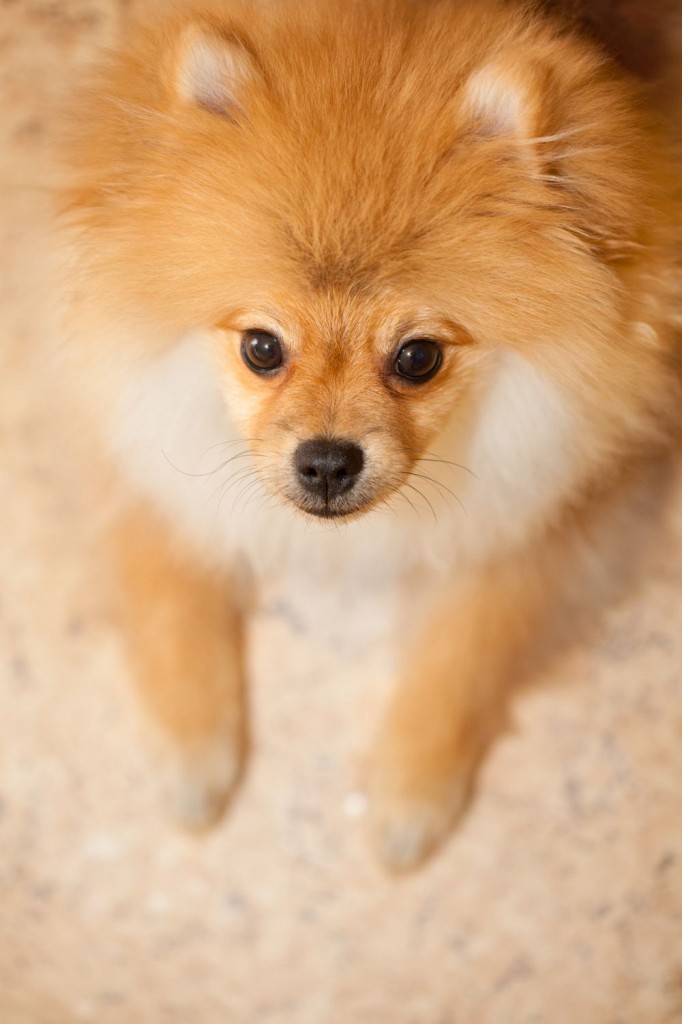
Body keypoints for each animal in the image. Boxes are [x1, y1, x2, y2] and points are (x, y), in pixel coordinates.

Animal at [59, 0, 679, 868]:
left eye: (417, 358)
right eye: (262, 348)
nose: (325, 462)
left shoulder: (562, 501)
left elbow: (466, 651)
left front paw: (408, 796)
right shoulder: (129, 438)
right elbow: (169, 597)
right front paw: (192, 759)